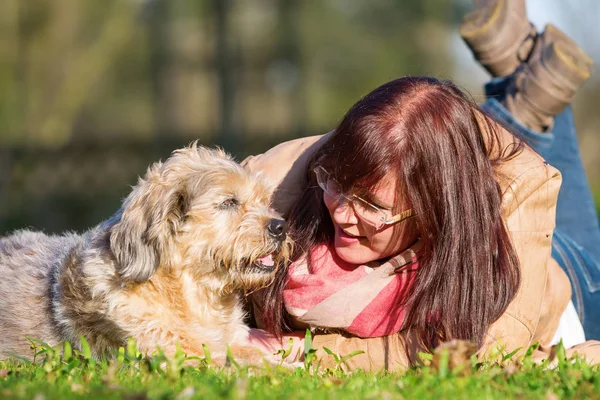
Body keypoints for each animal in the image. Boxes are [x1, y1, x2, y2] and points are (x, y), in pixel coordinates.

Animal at [0, 145, 292, 364]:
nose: (281, 227)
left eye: (264, 200)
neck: (196, 295)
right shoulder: (178, 354)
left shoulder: (233, 340)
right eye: (229, 202)